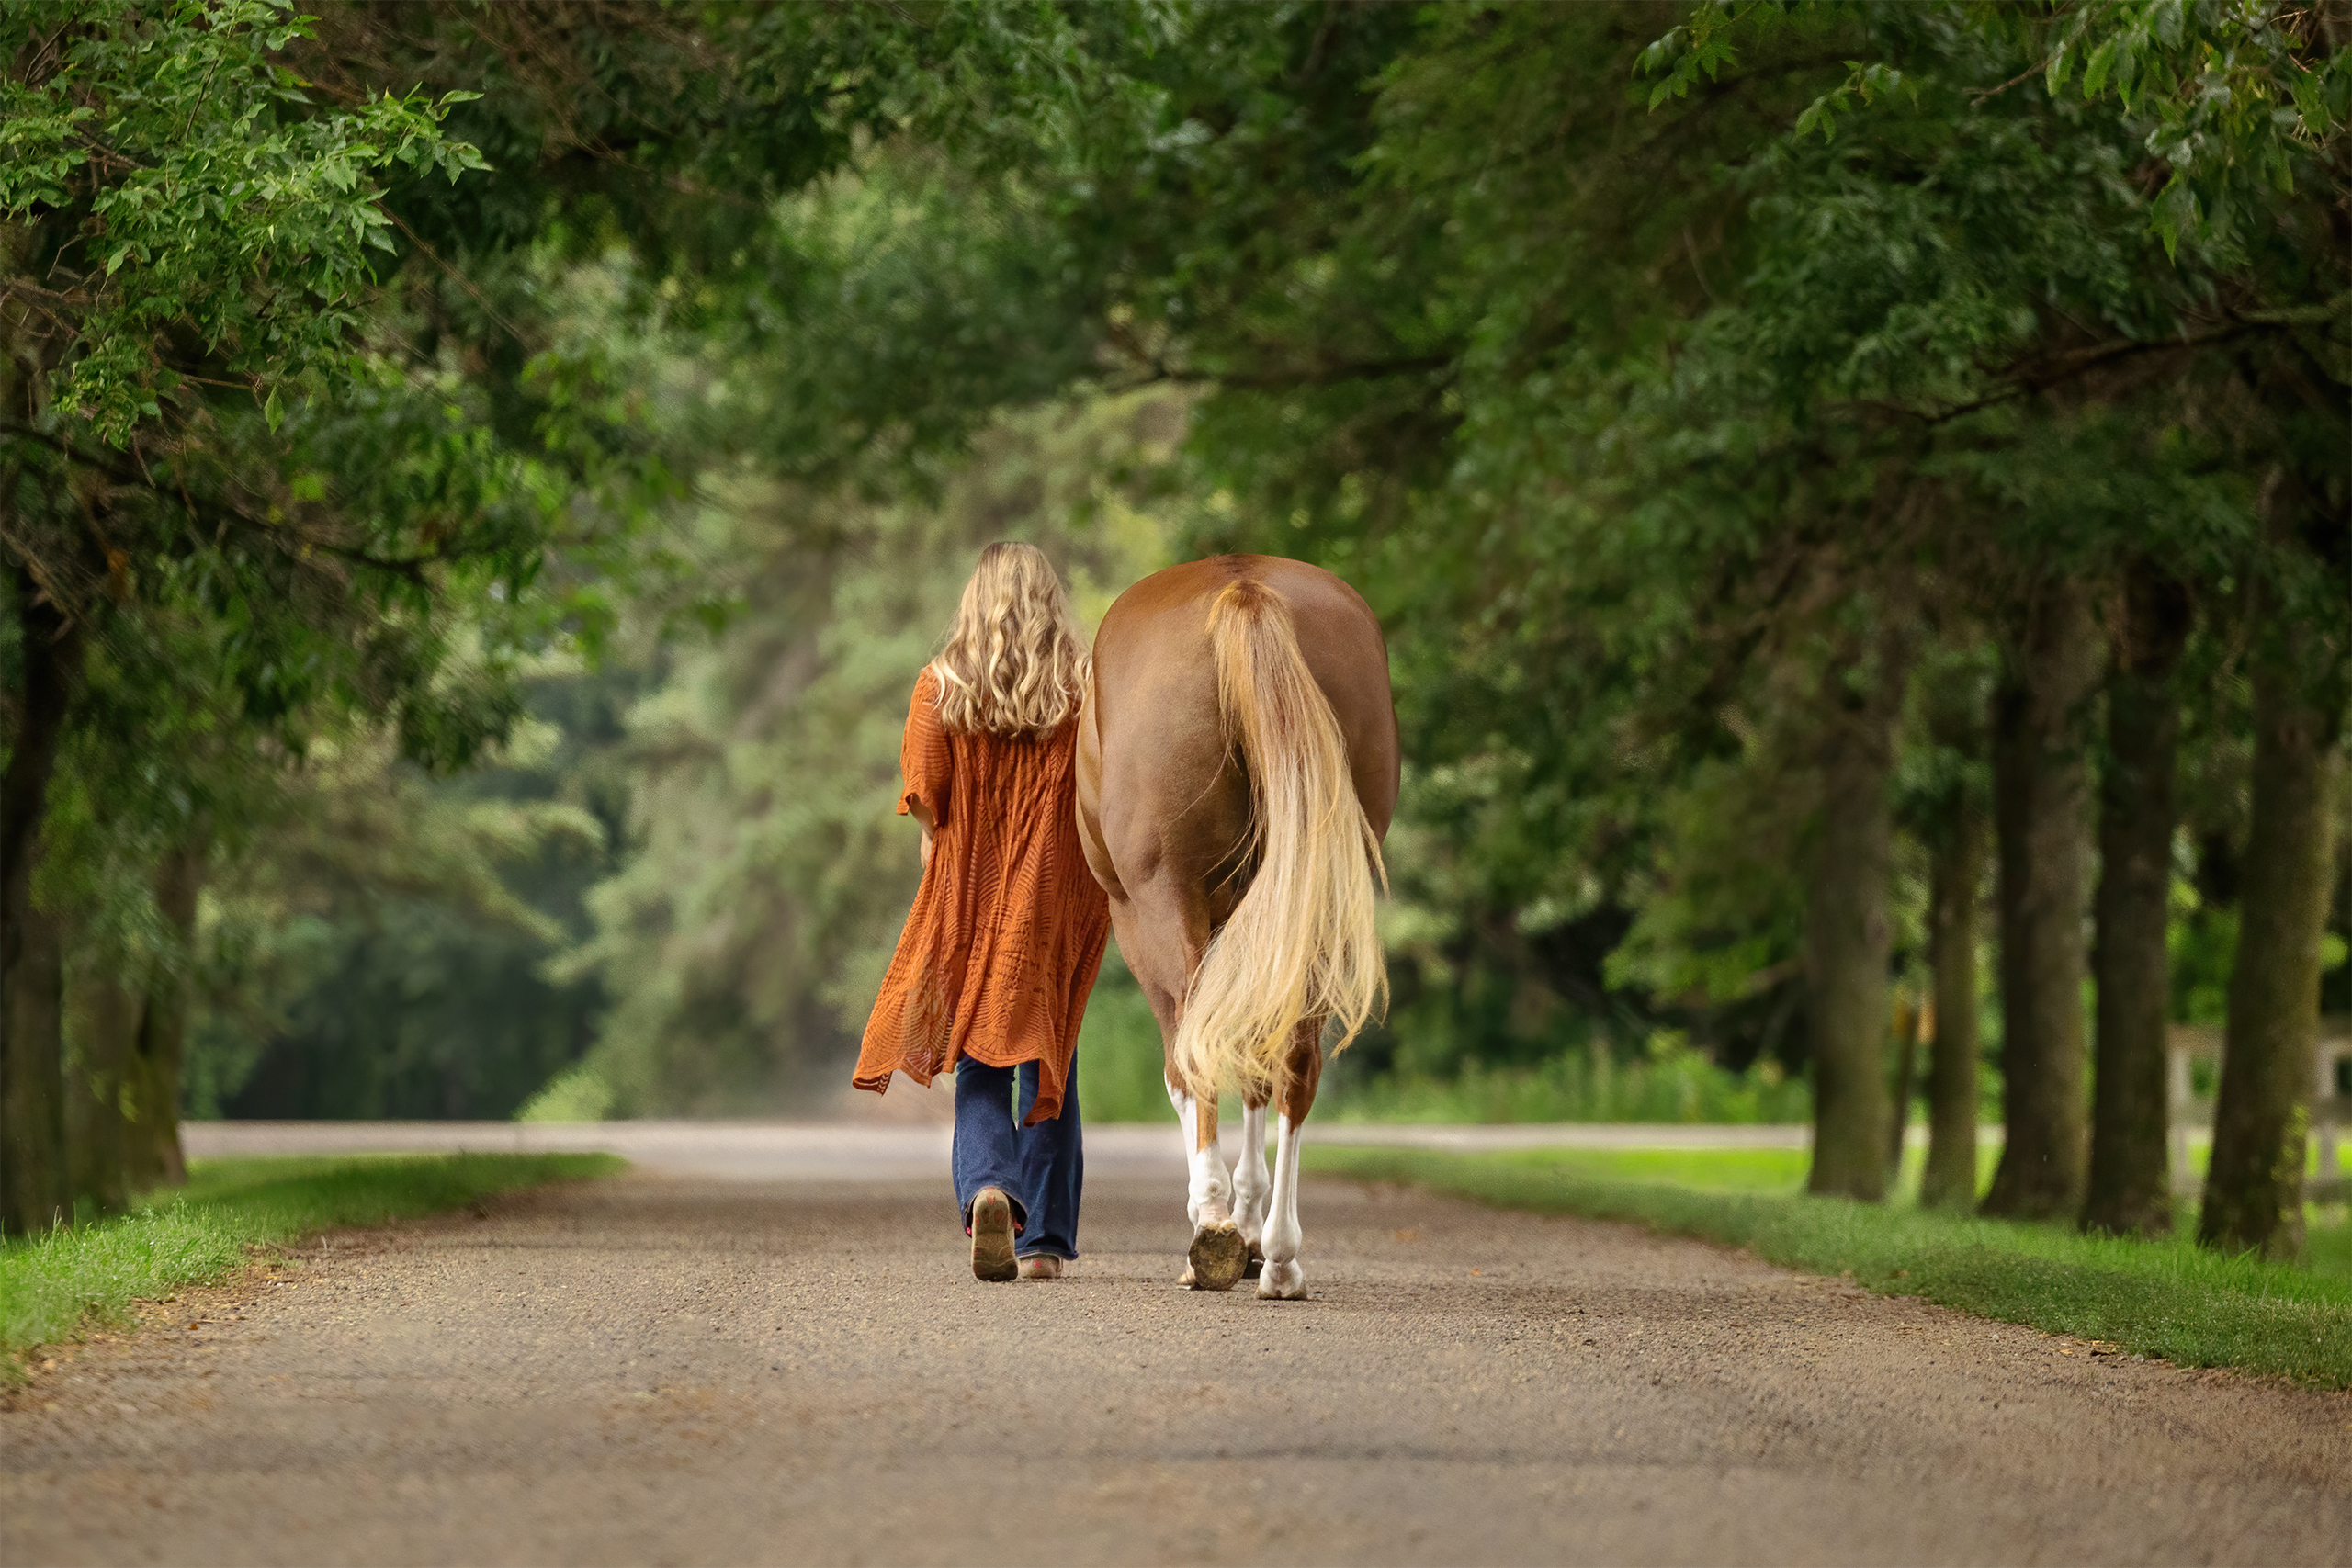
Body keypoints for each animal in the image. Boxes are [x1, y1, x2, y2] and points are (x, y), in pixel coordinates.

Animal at [1075, 554, 1397, 1298]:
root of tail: (1243, 583)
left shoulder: (1138, 918)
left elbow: (1186, 1060)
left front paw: (1219, 1216)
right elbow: (1253, 1059)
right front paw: (1249, 1226)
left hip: (1160, 902)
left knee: (1196, 1046)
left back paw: (1216, 1227)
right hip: (1313, 900)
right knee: (1297, 1057)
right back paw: (1278, 1255)